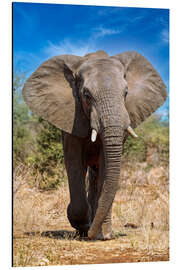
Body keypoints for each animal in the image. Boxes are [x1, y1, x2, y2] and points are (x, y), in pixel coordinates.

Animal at [22, 50, 167, 240]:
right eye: (86, 95)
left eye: (126, 93)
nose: (90, 233)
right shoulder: (72, 116)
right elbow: (74, 162)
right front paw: (83, 227)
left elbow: (106, 164)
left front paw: (102, 234)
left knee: (97, 174)